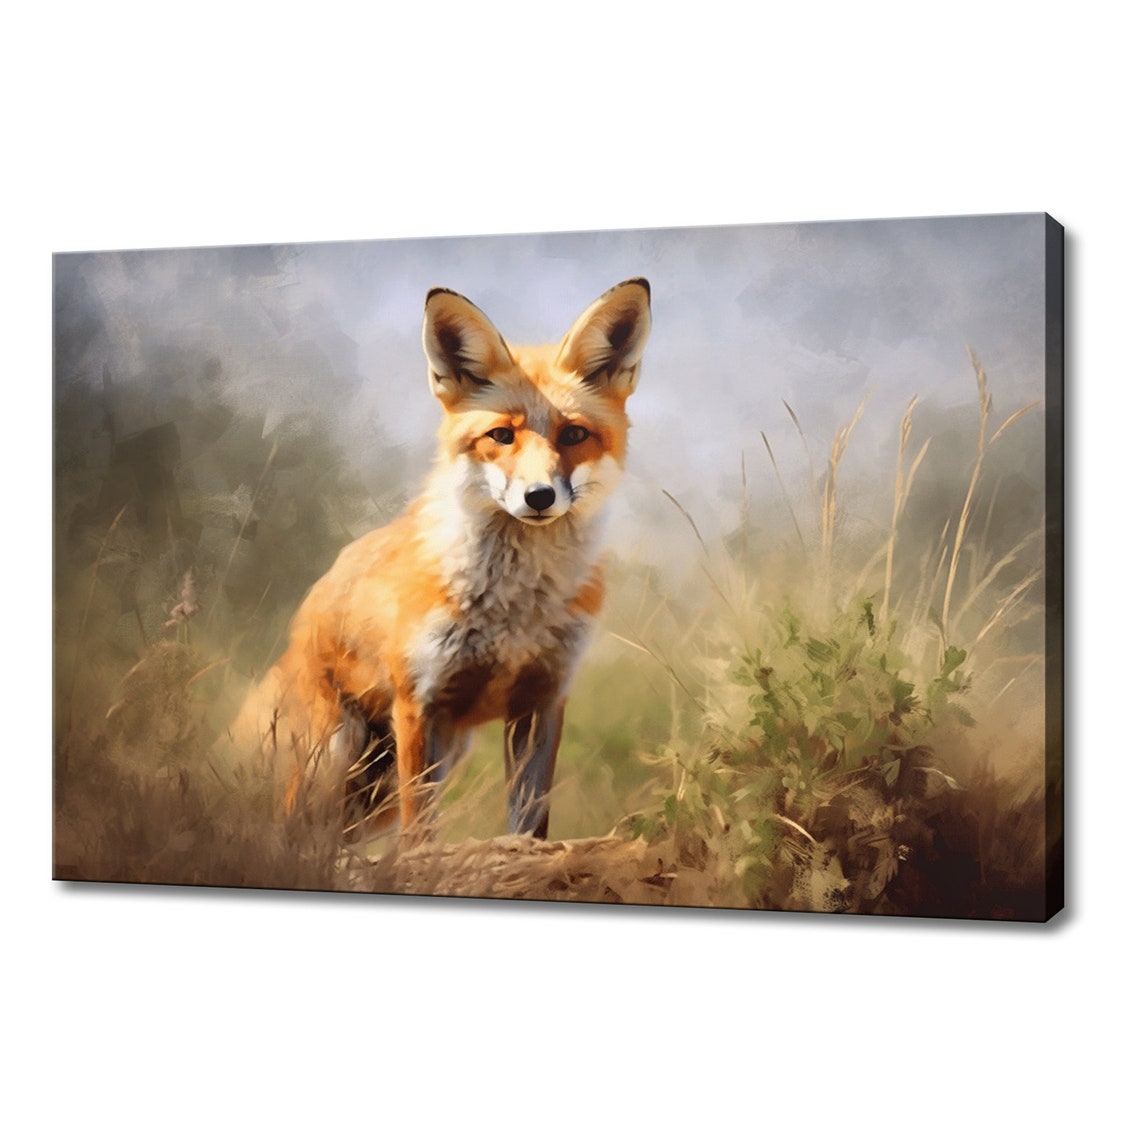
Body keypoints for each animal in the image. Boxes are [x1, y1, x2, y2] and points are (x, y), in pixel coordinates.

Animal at [229, 277, 651, 844]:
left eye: (573, 435)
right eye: (502, 435)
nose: (539, 497)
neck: (515, 610)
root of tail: (291, 643)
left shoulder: (541, 700)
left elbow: (530, 822)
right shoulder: (419, 703)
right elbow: (420, 828)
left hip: (408, 774)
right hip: (334, 755)